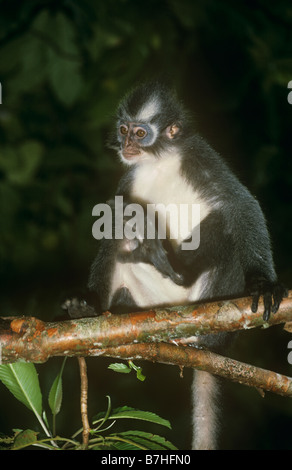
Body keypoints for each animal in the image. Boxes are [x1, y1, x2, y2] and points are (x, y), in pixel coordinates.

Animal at [87, 82, 288, 450]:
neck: (159, 162)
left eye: (140, 133)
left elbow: (239, 204)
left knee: (224, 226)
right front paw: (86, 306)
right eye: (123, 130)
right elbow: (111, 220)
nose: (127, 145)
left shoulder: (198, 155)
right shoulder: (131, 178)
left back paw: (183, 281)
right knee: (122, 230)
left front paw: (264, 284)